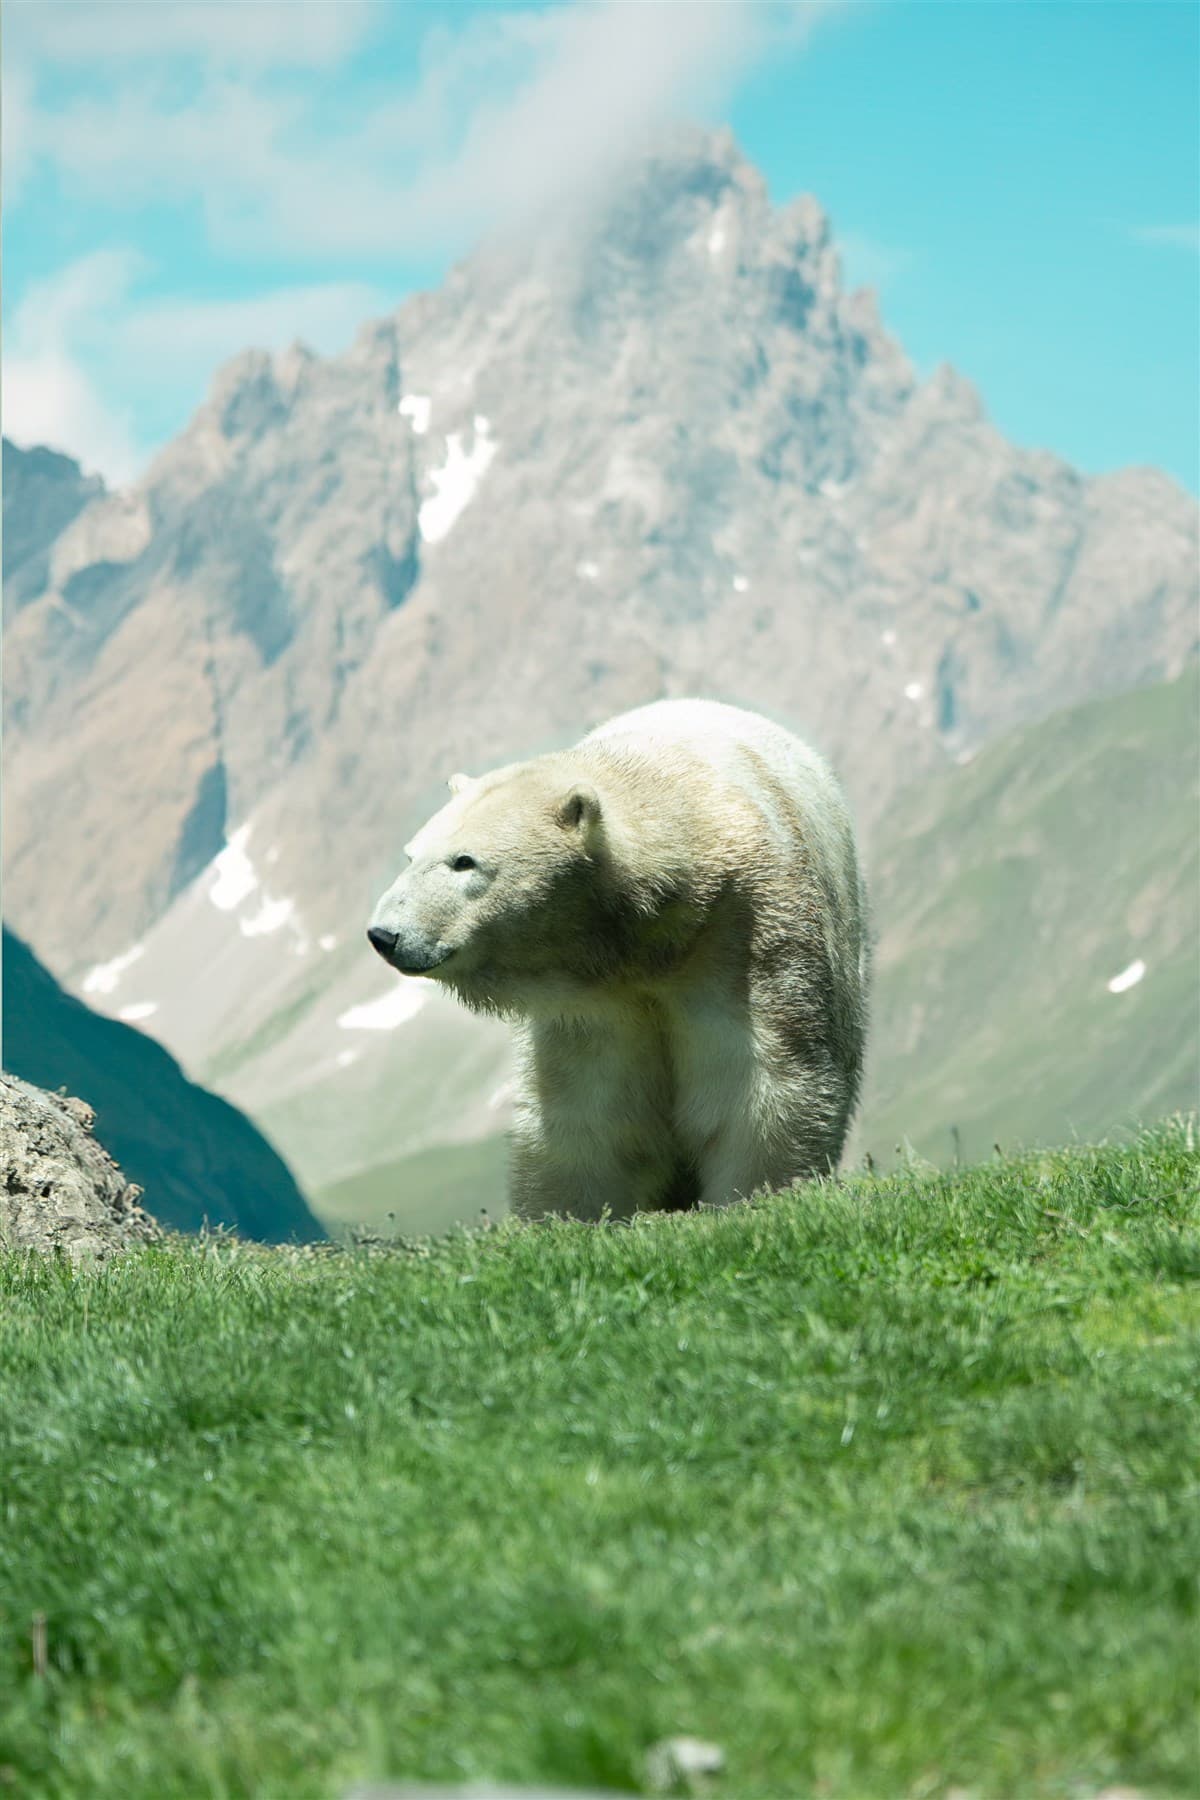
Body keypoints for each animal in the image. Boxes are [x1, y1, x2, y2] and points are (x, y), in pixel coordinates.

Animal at [367, 698, 870, 1221]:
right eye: (411, 856)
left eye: (464, 861)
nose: (385, 935)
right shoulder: (592, 999)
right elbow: (590, 1109)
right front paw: (569, 1216)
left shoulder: (743, 933)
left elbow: (756, 1080)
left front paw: (756, 1197)